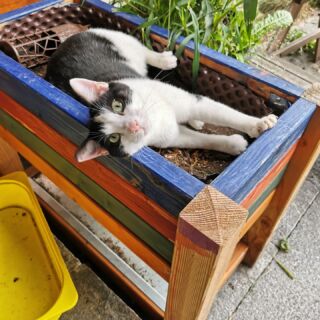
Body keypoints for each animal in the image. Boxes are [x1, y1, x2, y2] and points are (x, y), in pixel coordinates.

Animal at [45, 28, 278, 162]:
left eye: (117, 106)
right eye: (114, 138)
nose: (134, 125)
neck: (158, 117)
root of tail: (60, 47)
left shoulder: (191, 102)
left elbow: (226, 114)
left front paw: (258, 124)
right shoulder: (173, 137)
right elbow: (201, 140)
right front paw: (233, 144)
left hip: (117, 39)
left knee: (142, 49)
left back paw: (165, 60)